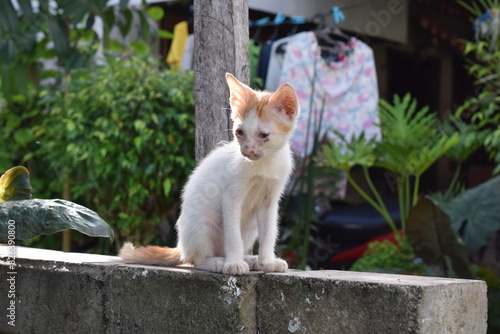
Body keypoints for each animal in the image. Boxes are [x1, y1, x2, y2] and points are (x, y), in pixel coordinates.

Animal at [119, 73, 298, 274]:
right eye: (239, 132)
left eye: (263, 135)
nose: (247, 151)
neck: (263, 163)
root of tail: (182, 247)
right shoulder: (230, 198)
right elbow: (233, 237)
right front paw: (234, 264)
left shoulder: (269, 202)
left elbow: (268, 234)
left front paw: (267, 261)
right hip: (202, 223)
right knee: (196, 260)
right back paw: (219, 262)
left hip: (250, 227)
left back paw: (251, 260)